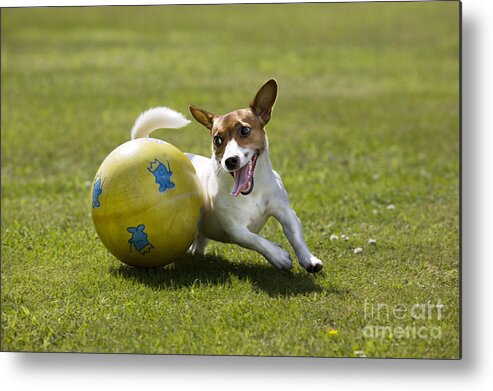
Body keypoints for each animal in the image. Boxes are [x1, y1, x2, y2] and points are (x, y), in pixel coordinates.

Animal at [131, 79, 322, 274]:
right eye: (217, 140)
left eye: (244, 130)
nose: (230, 160)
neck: (254, 191)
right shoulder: (236, 229)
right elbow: (256, 241)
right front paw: (278, 256)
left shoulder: (286, 212)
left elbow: (296, 236)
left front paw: (309, 259)